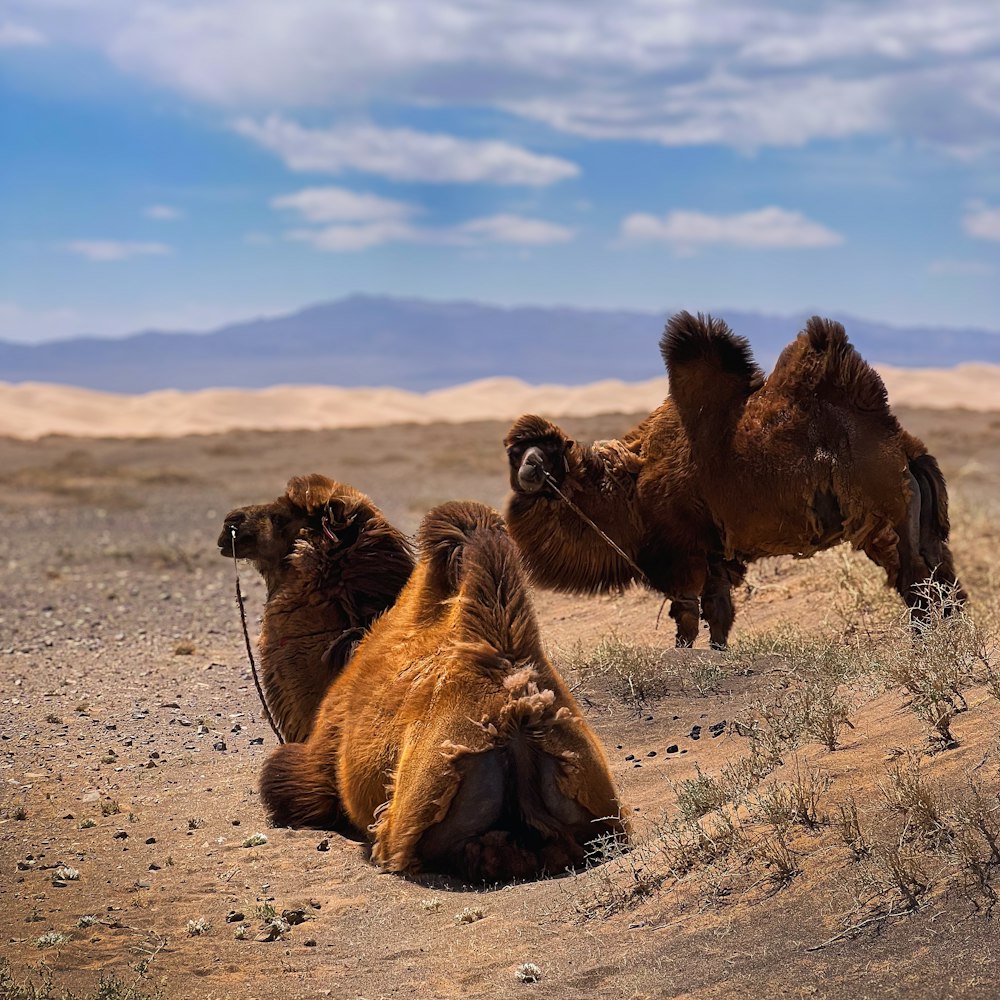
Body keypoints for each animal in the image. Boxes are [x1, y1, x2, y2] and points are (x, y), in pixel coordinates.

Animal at [504, 312, 964, 648]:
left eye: (548, 452)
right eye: (513, 452)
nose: (530, 468)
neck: (629, 489)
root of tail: (905, 447)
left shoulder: (683, 555)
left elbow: (688, 618)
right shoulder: (714, 556)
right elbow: (719, 615)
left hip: (884, 516)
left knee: (916, 581)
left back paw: (923, 643)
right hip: (919, 523)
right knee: (942, 577)